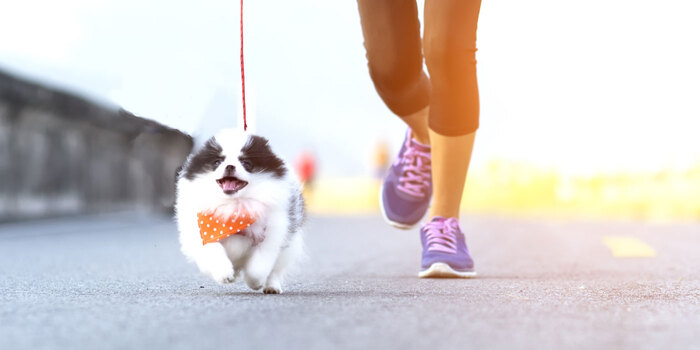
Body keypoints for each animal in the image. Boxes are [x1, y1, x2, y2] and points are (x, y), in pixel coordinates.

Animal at [175, 128, 304, 292]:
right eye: (217, 162)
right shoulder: (204, 231)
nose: (229, 166)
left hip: (288, 247)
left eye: (246, 163)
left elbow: (259, 266)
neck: (234, 206)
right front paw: (224, 274)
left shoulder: (271, 234)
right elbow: (213, 250)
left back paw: (271, 287)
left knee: (276, 270)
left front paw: (255, 282)